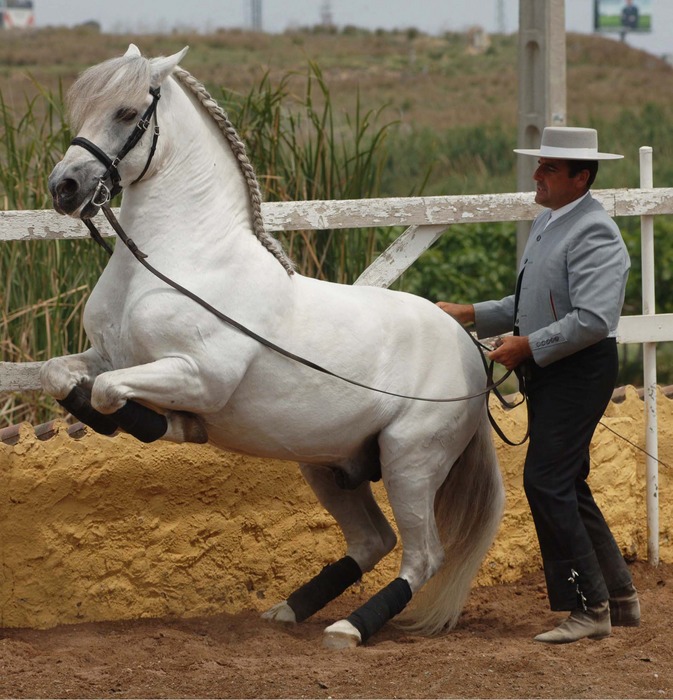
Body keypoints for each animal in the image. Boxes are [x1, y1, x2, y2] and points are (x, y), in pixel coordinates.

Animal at [40, 45, 504, 652]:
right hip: (328, 464)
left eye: (125, 112)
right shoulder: (110, 357)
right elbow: (63, 378)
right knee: (372, 540)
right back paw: (289, 609)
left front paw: (181, 426)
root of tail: (471, 345)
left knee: (423, 555)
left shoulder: (198, 376)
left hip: (412, 460)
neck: (181, 262)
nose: (64, 188)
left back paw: (349, 629)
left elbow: (110, 396)